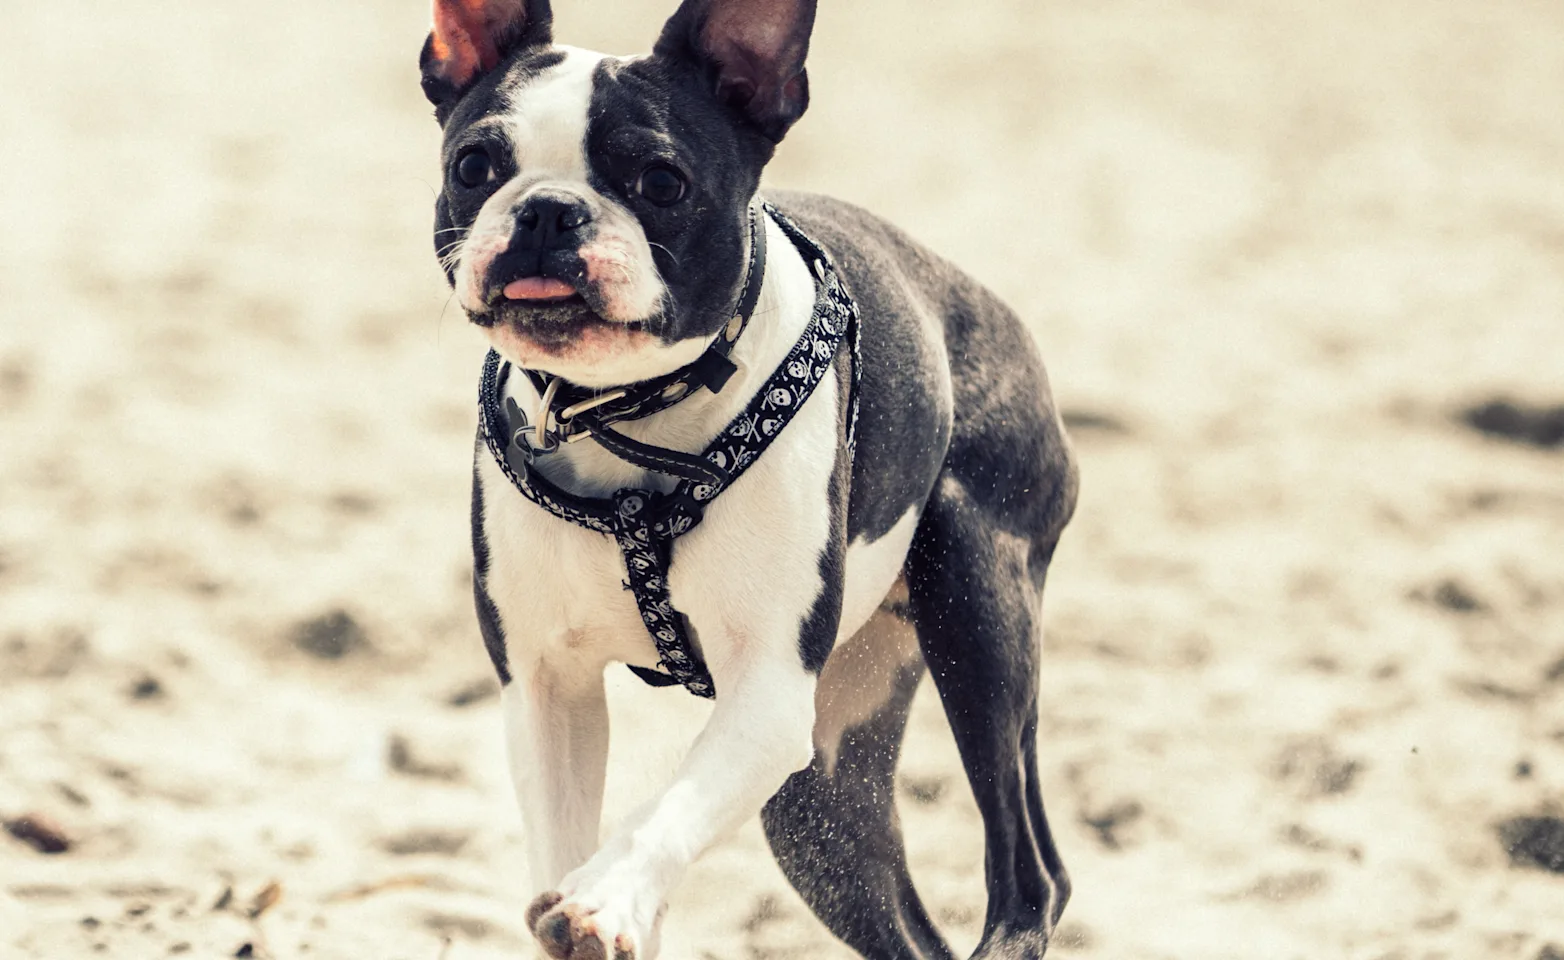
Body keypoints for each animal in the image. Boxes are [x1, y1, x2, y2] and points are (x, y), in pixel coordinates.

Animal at [422, 3, 1082, 956]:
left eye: (662, 182)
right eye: (474, 167)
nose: (547, 211)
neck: (625, 416)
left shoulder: (765, 692)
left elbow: (665, 810)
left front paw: (606, 897)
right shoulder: (547, 689)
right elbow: (569, 830)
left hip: (977, 603)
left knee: (1031, 876)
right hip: (820, 805)